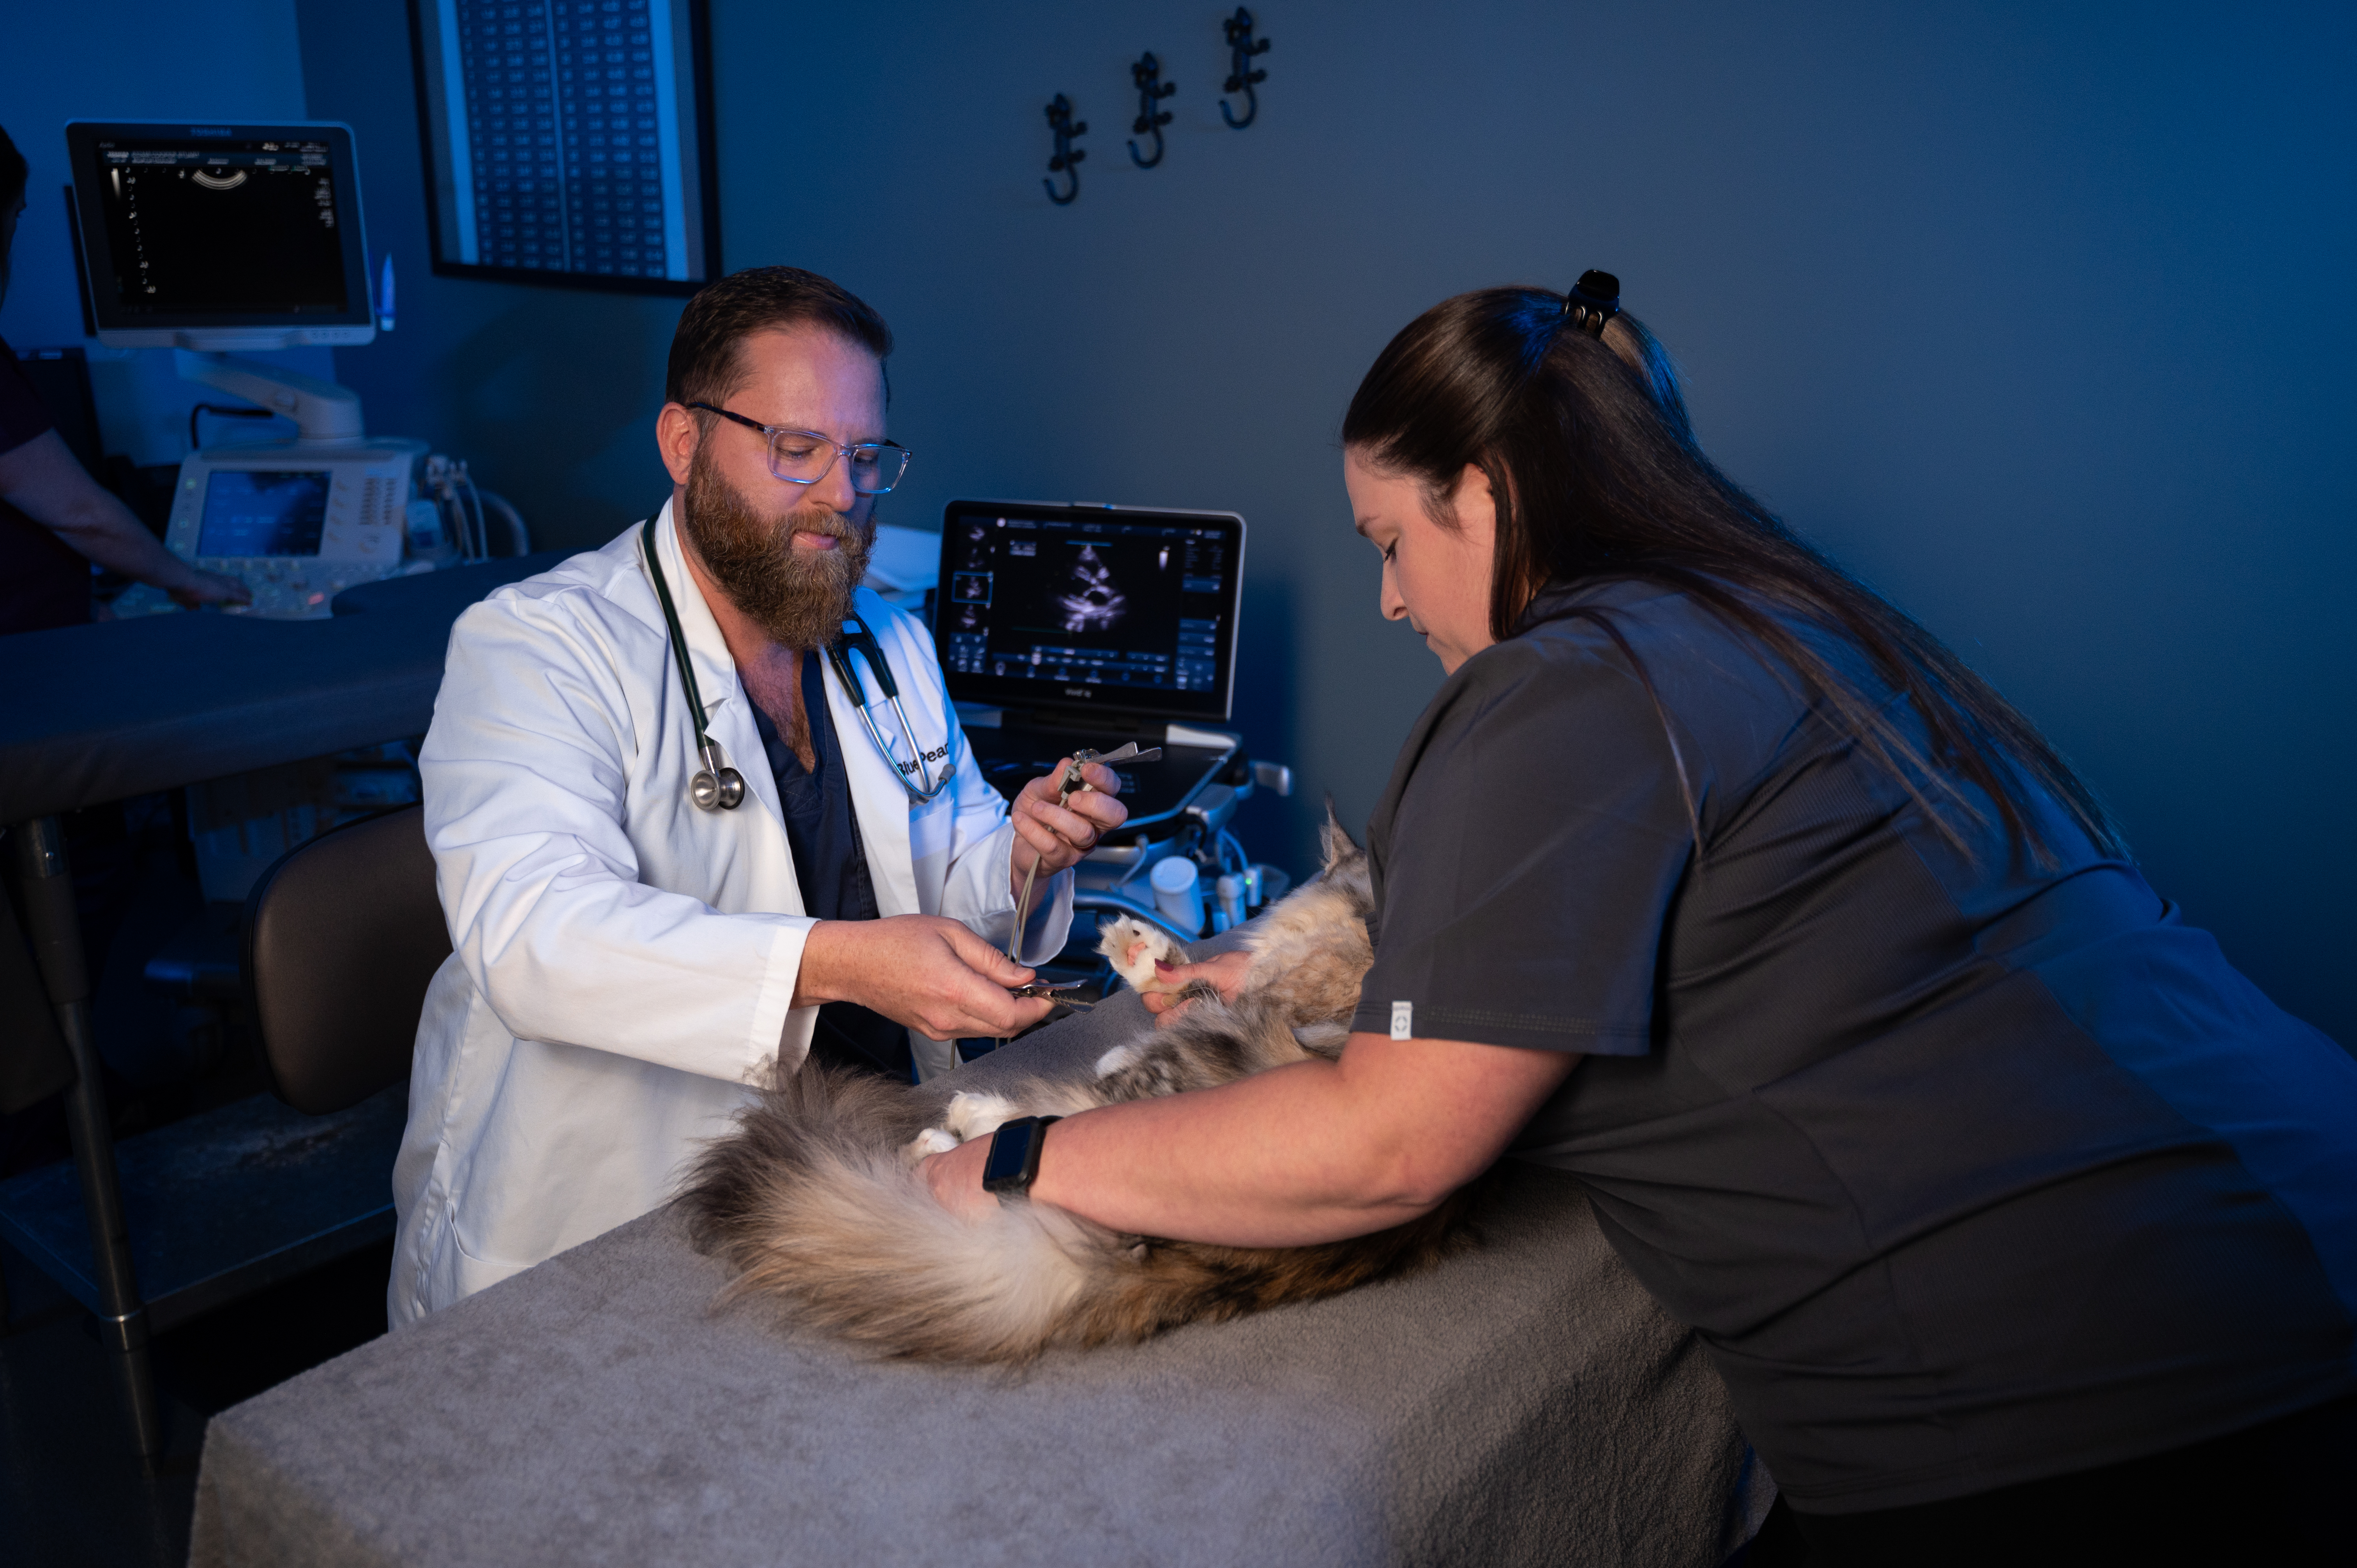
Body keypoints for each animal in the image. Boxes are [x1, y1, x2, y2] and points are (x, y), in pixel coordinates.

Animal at [674, 811, 1480, 1367]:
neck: (1360, 919)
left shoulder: (1264, 1004)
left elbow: (1173, 1001)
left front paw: (1132, 954)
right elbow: (1182, 985)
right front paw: (1136, 957)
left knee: (1053, 1119)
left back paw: (952, 1127)